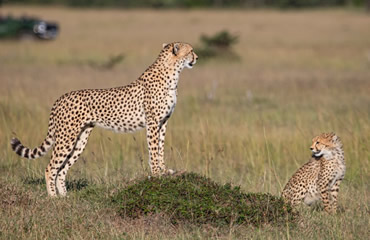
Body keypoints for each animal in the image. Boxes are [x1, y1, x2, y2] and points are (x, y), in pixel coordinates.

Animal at [10, 42, 198, 196]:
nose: (197, 57)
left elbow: (161, 147)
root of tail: (61, 97)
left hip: (80, 139)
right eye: (191, 50)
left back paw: (65, 196)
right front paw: (157, 173)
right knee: (51, 167)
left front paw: (165, 171)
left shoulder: (163, 123)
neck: (172, 73)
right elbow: (153, 149)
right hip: (67, 137)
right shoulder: (152, 123)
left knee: (62, 169)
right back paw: (53, 197)